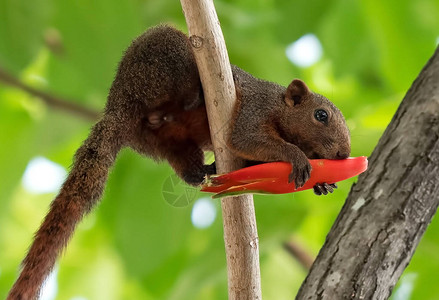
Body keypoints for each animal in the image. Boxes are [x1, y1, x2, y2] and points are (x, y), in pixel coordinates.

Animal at [6, 24, 350, 298]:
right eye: (321, 115)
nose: (344, 155)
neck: (279, 108)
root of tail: (117, 105)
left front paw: (323, 184)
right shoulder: (254, 109)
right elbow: (247, 139)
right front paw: (298, 157)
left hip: (167, 141)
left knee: (187, 168)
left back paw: (206, 168)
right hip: (167, 58)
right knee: (181, 80)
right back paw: (195, 93)